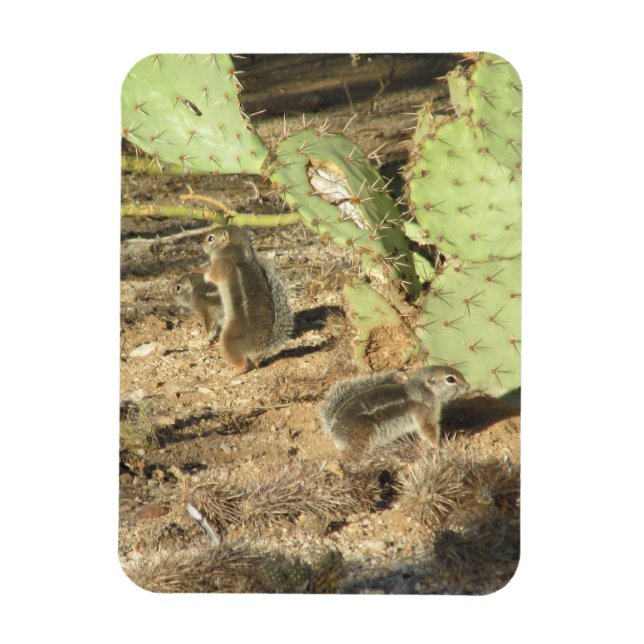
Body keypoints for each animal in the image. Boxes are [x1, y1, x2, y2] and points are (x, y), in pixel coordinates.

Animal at [202, 226, 293, 374]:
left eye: (211, 238)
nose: (202, 245)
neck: (235, 248)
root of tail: (262, 345)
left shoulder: (221, 266)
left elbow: (214, 276)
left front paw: (205, 275)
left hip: (228, 340)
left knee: (244, 364)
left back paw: (233, 372)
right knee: (254, 364)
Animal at [320, 366, 470, 457]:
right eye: (450, 379)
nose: (468, 386)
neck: (422, 391)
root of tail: (333, 429)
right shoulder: (425, 416)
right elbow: (428, 432)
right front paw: (438, 448)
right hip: (365, 438)